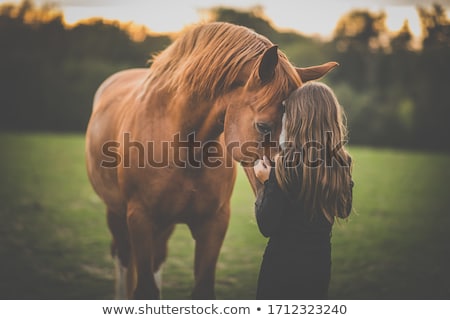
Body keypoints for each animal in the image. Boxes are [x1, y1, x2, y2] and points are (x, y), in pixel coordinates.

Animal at [86, 22, 336, 300]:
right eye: (263, 126)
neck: (182, 146)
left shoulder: (214, 224)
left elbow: (202, 289)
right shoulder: (140, 219)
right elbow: (145, 289)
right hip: (117, 213)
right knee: (123, 259)